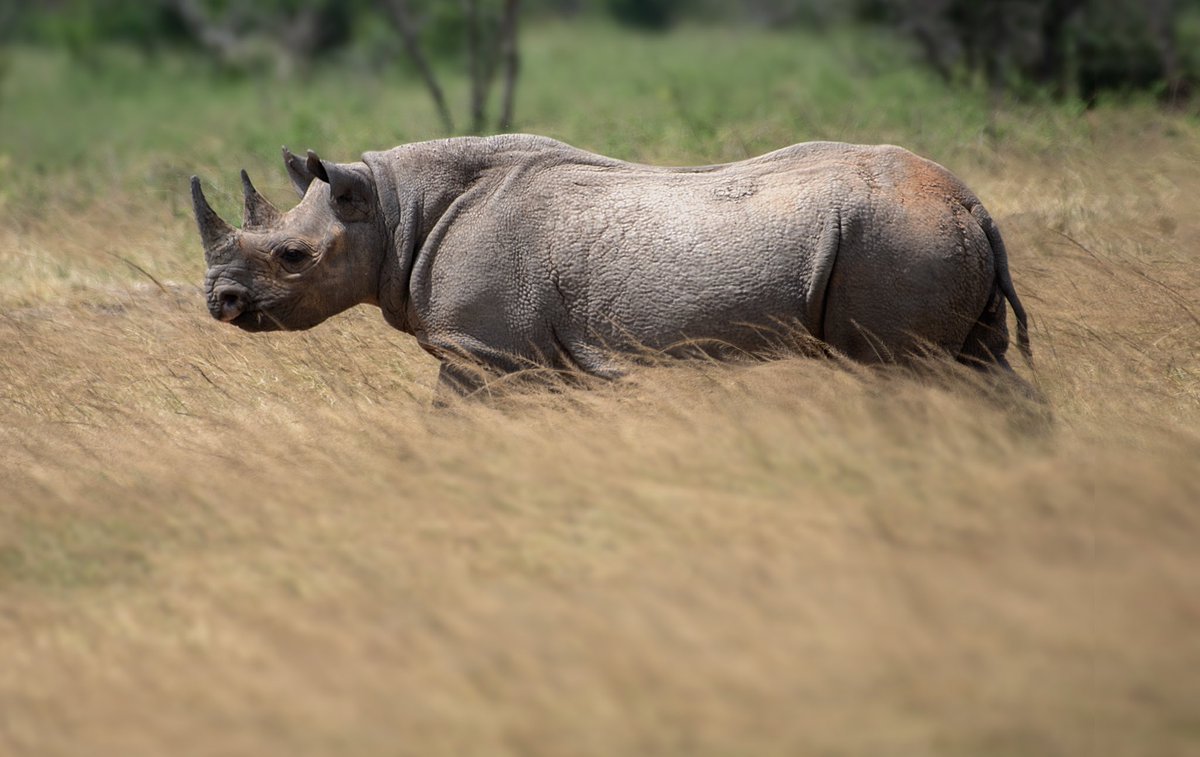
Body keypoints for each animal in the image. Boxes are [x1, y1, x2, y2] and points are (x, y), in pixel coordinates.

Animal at [192, 134, 1030, 396]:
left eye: (293, 257)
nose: (219, 302)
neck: (395, 211)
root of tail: (973, 205)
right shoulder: (539, 356)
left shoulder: (488, 350)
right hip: (921, 236)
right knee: (982, 372)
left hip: (893, 241)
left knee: (901, 376)